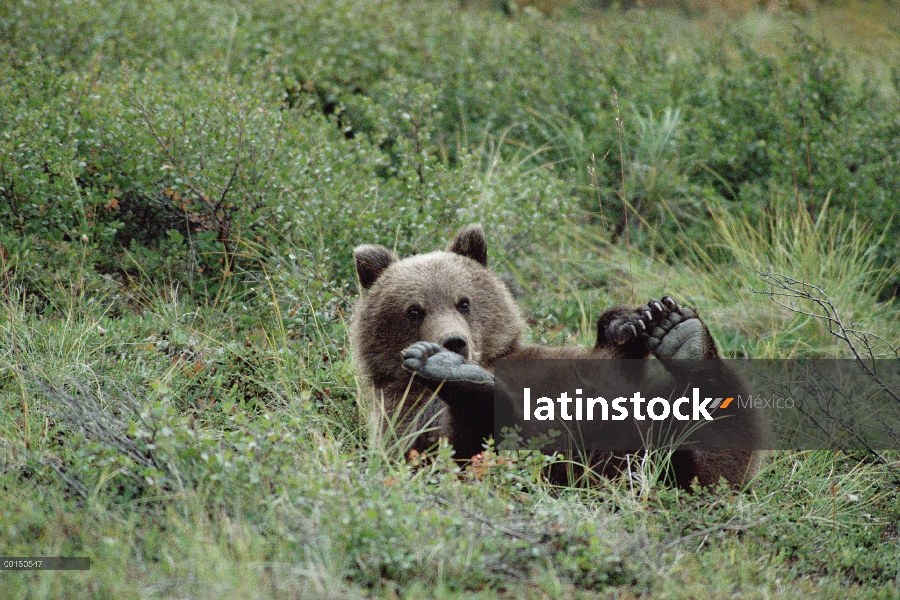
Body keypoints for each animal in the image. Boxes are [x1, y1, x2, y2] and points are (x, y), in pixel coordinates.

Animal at [352, 223, 768, 490]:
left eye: (463, 301)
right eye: (414, 310)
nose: (454, 343)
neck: (492, 359)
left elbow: (606, 356)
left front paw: (636, 320)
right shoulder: (399, 406)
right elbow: (429, 438)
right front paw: (445, 366)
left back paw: (683, 339)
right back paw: (456, 377)